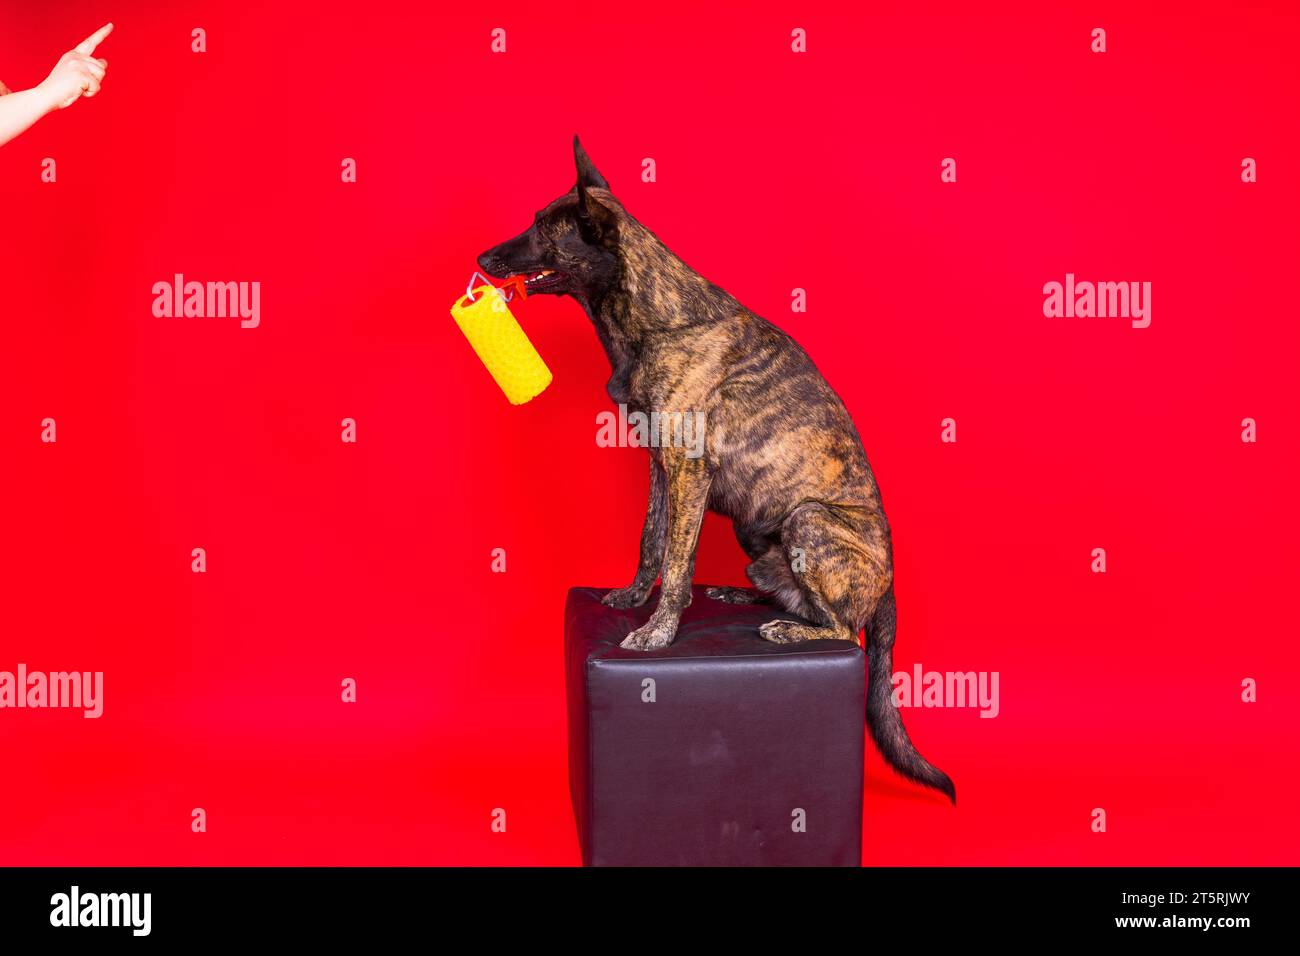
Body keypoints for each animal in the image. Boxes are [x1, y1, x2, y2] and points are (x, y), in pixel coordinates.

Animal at [478, 138, 956, 806]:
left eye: (545, 230)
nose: (481, 258)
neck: (653, 314)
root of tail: (889, 588)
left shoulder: (689, 466)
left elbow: (678, 563)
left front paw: (657, 632)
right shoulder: (661, 464)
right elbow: (651, 541)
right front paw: (632, 597)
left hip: (809, 518)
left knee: (840, 627)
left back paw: (787, 630)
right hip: (757, 532)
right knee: (803, 601)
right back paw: (746, 595)